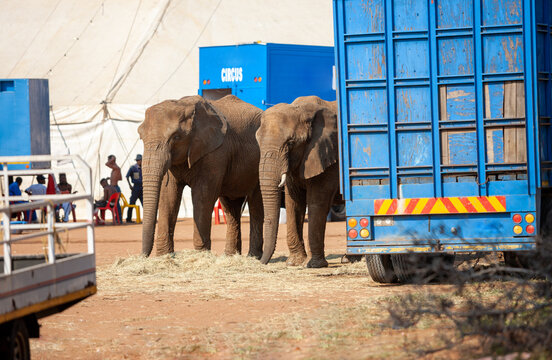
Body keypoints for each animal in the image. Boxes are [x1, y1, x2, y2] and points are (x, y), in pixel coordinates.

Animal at [140, 95, 266, 258]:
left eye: (176, 137)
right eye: (141, 137)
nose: (143, 255)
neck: (184, 105)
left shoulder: (215, 152)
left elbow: (202, 195)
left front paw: (200, 254)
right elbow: (168, 195)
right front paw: (164, 256)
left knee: (256, 205)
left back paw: (253, 257)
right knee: (231, 207)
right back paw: (230, 256)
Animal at [256, 95, 338, 268]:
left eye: (291, 143)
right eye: (258, 142)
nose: (261, 262)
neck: (302, 110)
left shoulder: (329, 156)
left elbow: (317, 202)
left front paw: (313, 265)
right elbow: (293, 202)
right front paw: (294, 263)